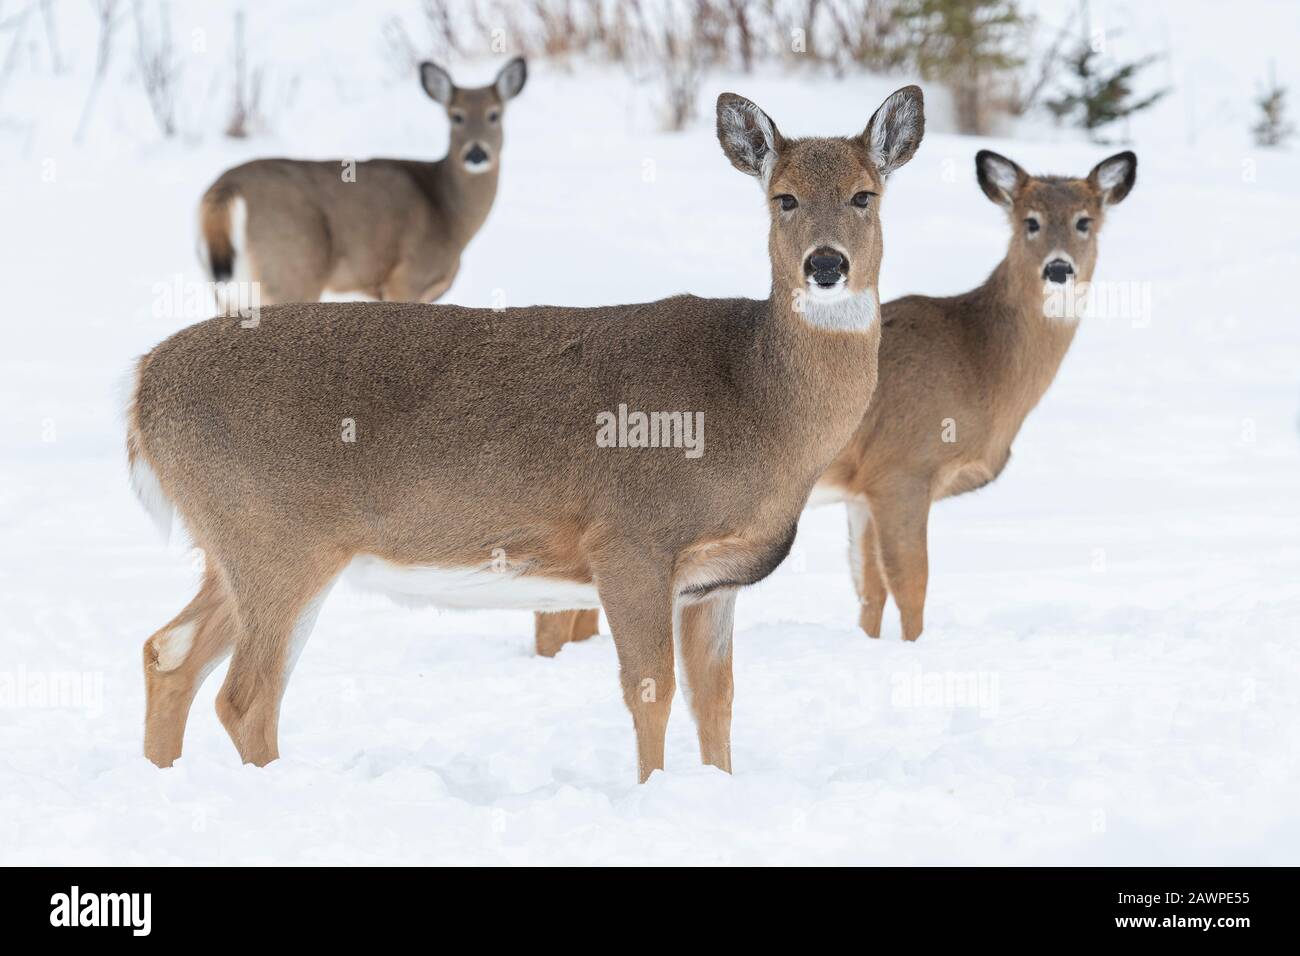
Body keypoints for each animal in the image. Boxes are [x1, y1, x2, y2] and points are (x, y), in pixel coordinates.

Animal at [129, 85, 925, 780]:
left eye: (865, 195)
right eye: (782, 197)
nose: (826, 264)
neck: (755, 403)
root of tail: (143, 388)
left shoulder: (713, 581)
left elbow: (717, 701)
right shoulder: (629, 539)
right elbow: (652, 691)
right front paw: (652, 795)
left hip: (231, 546)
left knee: (166, 651)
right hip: (276, 538)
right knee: (244, 697)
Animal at [195, 57, 525, 304]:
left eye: (494, 114)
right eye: (455, 116)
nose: (476, 153)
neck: (448, 213)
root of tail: (225, 189)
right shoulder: (406, 277)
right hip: (290, 268)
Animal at [533, 147, 1133, 650]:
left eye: (1086, 221)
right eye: (1030, 222)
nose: (1059, 269)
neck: (979, 361)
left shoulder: (860, 491)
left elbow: (869, 589)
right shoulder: (902, 469)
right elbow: (910, 582)